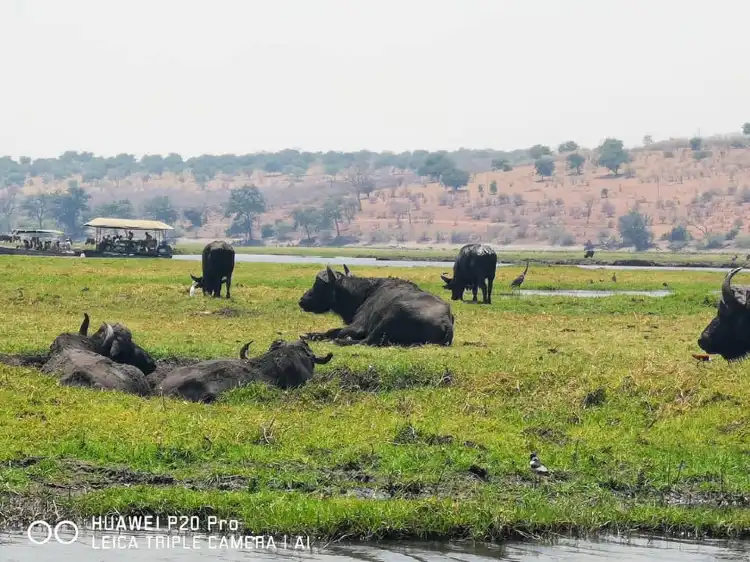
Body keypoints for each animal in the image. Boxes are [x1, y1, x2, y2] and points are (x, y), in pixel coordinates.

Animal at [302, 264, 458, 346]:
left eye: (318, 285)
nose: (302, 300)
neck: (365, 293)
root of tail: (445, 321)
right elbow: (331, 330)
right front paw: (311, 335)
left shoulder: (358, 325)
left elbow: (338, 332)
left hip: (390, 316)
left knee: (365, 340)